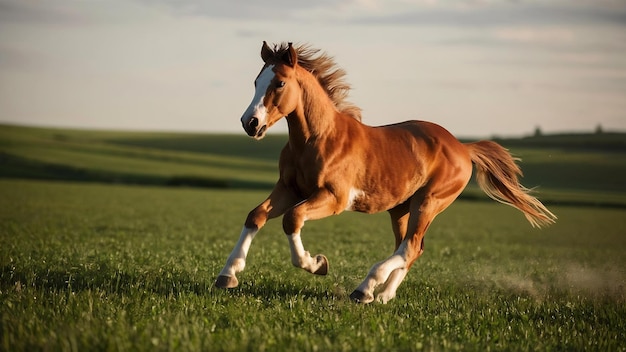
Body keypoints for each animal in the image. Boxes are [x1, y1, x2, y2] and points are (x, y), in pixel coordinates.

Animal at [214, 42, 556, 304]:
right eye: (256, 82)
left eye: (280, 83)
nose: (250, 123)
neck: (317, 139)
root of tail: (463, 147)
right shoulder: (289, 189)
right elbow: (256, 216)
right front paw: (227, 275)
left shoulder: (333, 198)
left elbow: (292, 219)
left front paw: (317, 263)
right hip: (401, 209)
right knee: (410, 248)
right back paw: (382, 295)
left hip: (428, 202)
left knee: (411, 246)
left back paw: (364, 288)